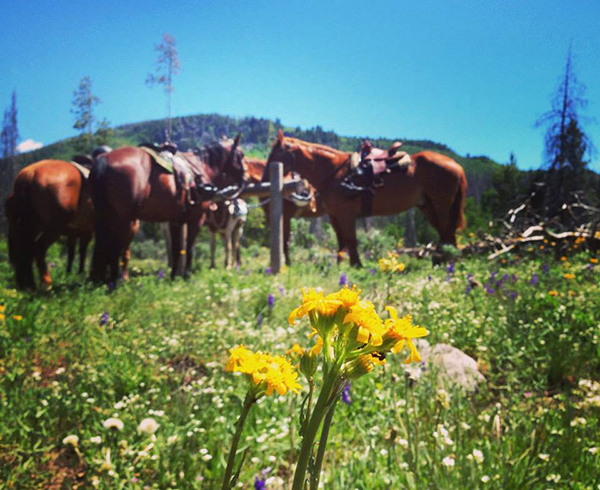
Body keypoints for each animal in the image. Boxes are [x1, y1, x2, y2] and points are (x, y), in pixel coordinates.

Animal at [4, 159, 96, 290]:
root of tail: (29, 173)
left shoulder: (79, 232)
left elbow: (75, 252)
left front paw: (74, 274)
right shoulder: (87, 231)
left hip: (29, 228)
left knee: (23, 251)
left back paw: (27, 285)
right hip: (54, 228)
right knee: (38, 248)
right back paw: (46, 283)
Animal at [91, 136, 246, 282]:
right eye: (241, 154)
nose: (245, 177)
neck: (200, 167)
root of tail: (104, 159)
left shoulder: (175, 221)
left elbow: (176, 249)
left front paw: (174, 276)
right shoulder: (196, 218)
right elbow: (189, 247)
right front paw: (187, 274)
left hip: (107, 218)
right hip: (123, 220)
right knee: (115, 250)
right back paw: (116, 282)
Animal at [268, 130, 468, 266]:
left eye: (277, 152)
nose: (267, 175)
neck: (334, 172)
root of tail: (456, 165)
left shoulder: (346, 215)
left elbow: (351, 240)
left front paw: (357, 265)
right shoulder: (335, 216)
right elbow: (342, 241)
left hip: (442, 206)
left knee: (447, 231)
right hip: (428, 207)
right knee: (446, 233)